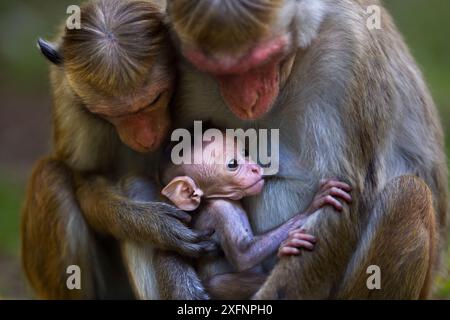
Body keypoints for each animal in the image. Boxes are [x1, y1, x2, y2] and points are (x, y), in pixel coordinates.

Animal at [159, 134, 352, 298]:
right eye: (232, 164)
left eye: (245, 152)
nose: (254, 168)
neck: (213, 198)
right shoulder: (222, 210)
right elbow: (243, 255)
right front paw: (311, 208)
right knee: (216, 283)